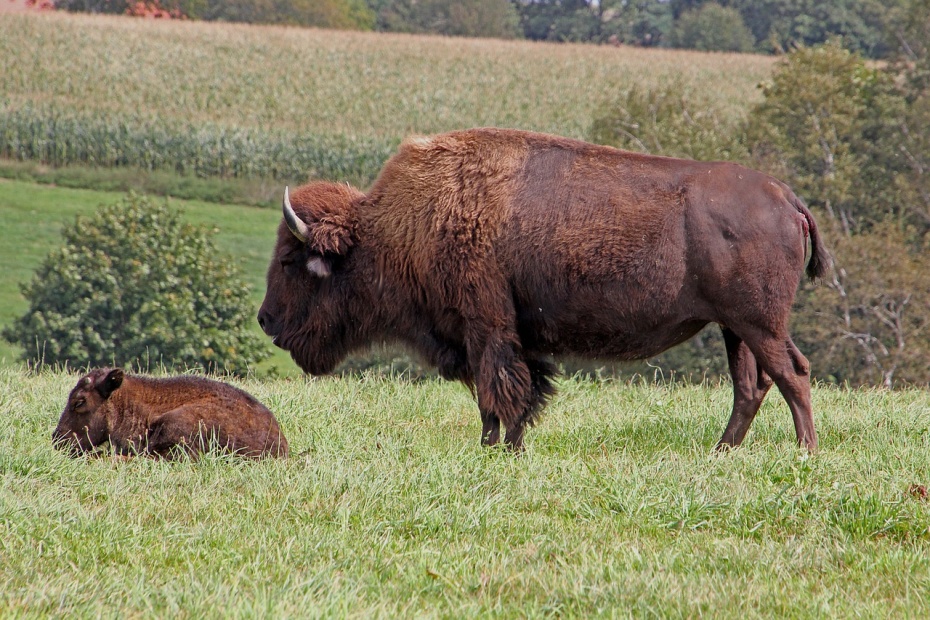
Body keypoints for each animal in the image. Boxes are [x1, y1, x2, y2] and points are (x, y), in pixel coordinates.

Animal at [256, 128, 828, 452]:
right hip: (736, 328)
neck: (403, 224)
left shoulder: (485, 327)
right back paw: (721, 453)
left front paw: (495, 450)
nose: (265, 319)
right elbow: (520, 389)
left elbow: (497, 389)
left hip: (758, 323)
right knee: (752, 385)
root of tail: (788, 197)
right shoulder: (505, 336)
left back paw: (804, 453)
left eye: (289, 261)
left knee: (792, 373)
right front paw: (504, 446)